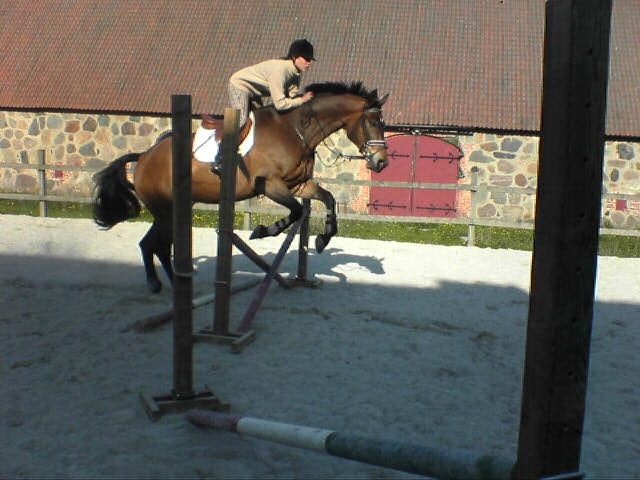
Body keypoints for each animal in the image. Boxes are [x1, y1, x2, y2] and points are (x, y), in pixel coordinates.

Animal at [92, 81, 389, 293]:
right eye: (374, 122)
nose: (381, 162)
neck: (297, 131)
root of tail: (144, 156)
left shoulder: (298, 185)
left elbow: (328, 199)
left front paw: (322, 239)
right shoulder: (270, 185)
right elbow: (295, 212)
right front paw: (262, 231)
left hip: (173, 209)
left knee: (153, 244)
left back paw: (165, 284)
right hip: (165, 209)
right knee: (157, 245)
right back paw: (165, 285)